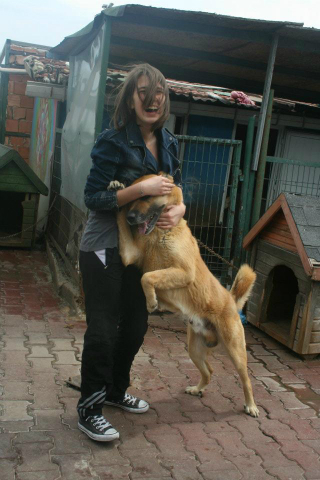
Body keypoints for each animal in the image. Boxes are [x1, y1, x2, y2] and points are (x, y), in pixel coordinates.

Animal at [109, 173, 258, 416]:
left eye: (146, 196)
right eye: (132, 197)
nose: (132, 218)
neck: (160, 232)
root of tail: (231, 301)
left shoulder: (184, 273)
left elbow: (147, 277)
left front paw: (152, 302)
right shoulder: (129, 254)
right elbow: (144, 271)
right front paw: (115, 189)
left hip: (236, 352)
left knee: (246, 380)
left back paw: (251, 406)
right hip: (194, 351)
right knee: (210, 370)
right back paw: (197, 389)